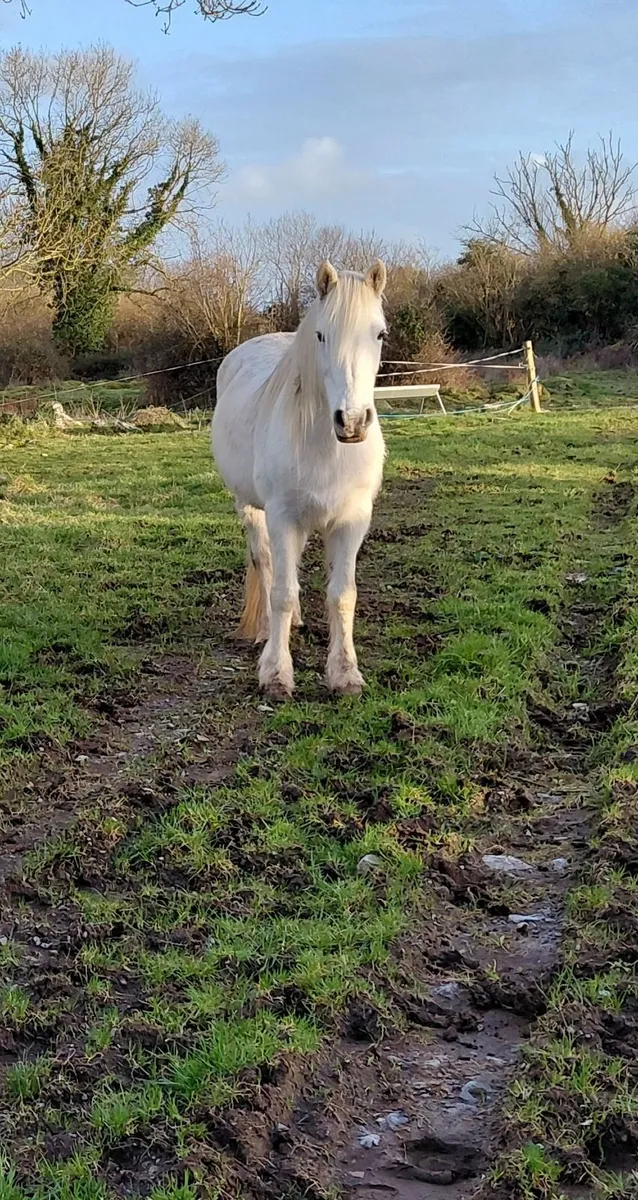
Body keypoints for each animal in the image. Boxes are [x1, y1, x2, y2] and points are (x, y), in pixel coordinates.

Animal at [211, 259, 387, 699]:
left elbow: (342, 595)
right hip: (251, 509)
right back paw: (268, 631)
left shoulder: (352, 520)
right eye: (321, 334)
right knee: (266, 561)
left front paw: (345, 674)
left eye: (379, 333)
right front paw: (276, 673)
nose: (352, 421)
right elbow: (282, 593)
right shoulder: (283, 516)